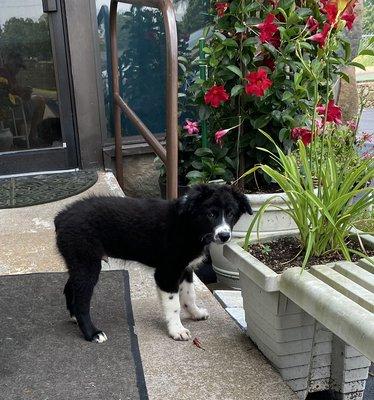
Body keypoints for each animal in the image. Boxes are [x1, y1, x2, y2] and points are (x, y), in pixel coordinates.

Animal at [54, 184, 253, 344]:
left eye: (231, 213)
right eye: (211, 214)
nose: (224, 236)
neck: (189, 224)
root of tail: (61, 217)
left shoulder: (185, 269)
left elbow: (189, 295)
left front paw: (195, 313)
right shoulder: (167, 273)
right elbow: (173, 305)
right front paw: (177, 330)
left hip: (79, 262)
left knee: (70, 287)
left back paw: (74, 317)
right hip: (87, 262)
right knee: (81, 300)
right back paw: (92, 333)